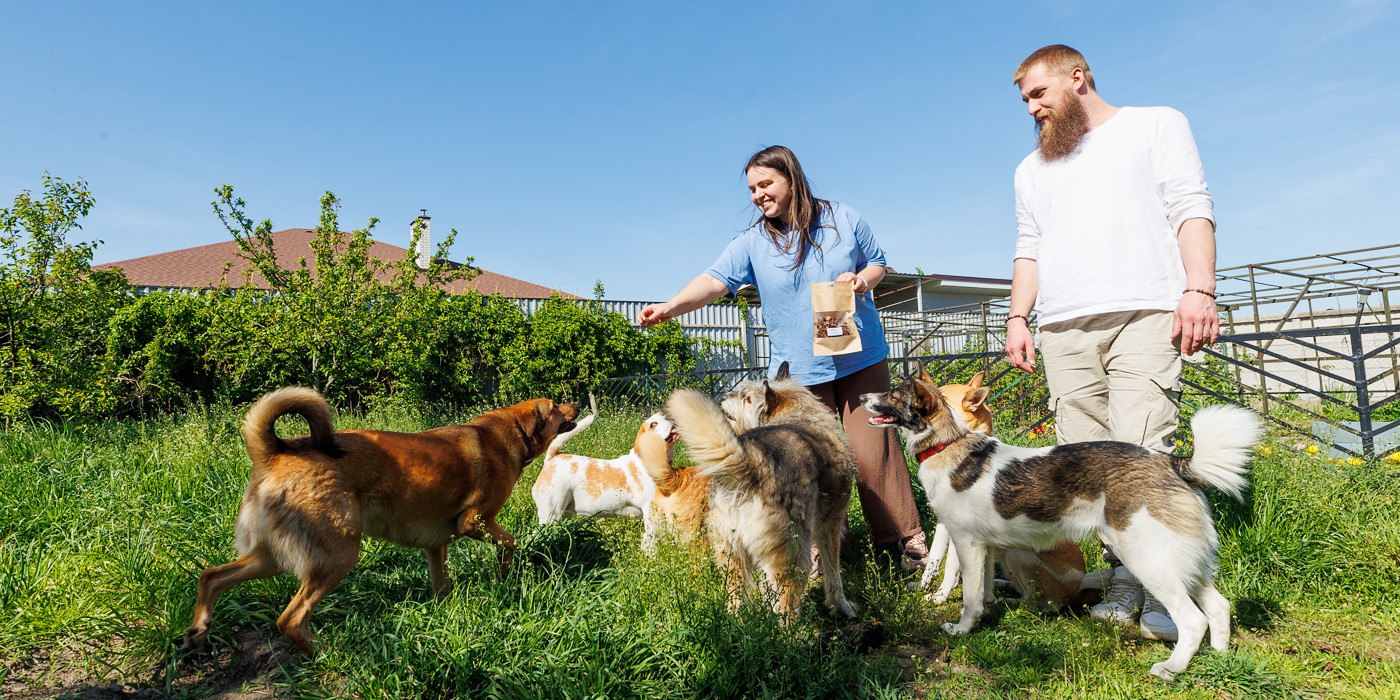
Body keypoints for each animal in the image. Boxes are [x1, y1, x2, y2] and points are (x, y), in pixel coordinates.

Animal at [529, 408, 705, 551]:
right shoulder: (650, 512)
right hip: (550, 515)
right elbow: (650, 542)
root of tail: (552, 459)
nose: (668, 414)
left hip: (562, 515)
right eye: (653, 424)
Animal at [918, 372, 1092, 613]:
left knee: (1036, 602)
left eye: (942, 397)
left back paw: (1002, 601)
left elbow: (951, 567)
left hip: (1017, 552)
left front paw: (940, 596)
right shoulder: (944, 524)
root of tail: (1078, 591)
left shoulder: (962, 532)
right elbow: (934, 558)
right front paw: (922, 586)